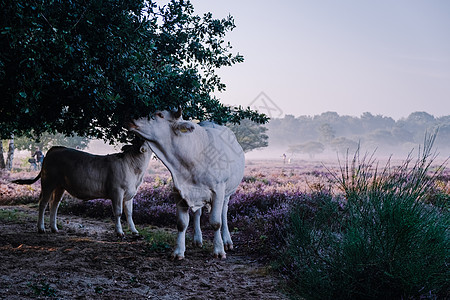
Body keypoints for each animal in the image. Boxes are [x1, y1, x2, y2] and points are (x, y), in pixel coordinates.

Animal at [11, 138, 153, 237]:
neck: (134, 169)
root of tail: (55, 149)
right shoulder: (117, 191)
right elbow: (118, 212)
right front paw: (119, 232)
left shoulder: (129, 194)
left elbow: (129, 213)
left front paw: (134, 231)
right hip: (48, 183)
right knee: (43, 203)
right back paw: (41, 228)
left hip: (59, 186)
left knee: (54, 204)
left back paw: (54, 228)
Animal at [128, 110, 244, 260]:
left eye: (160, 115)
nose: (131, 119)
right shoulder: (179, 191)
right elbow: (182, 223)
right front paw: (178, 251)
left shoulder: (218, 191)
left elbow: (216, 222)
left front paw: (219, 250)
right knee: (198, 213)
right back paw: (197, 239)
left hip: (227, 193)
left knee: (224, 213)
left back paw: (227, 241)